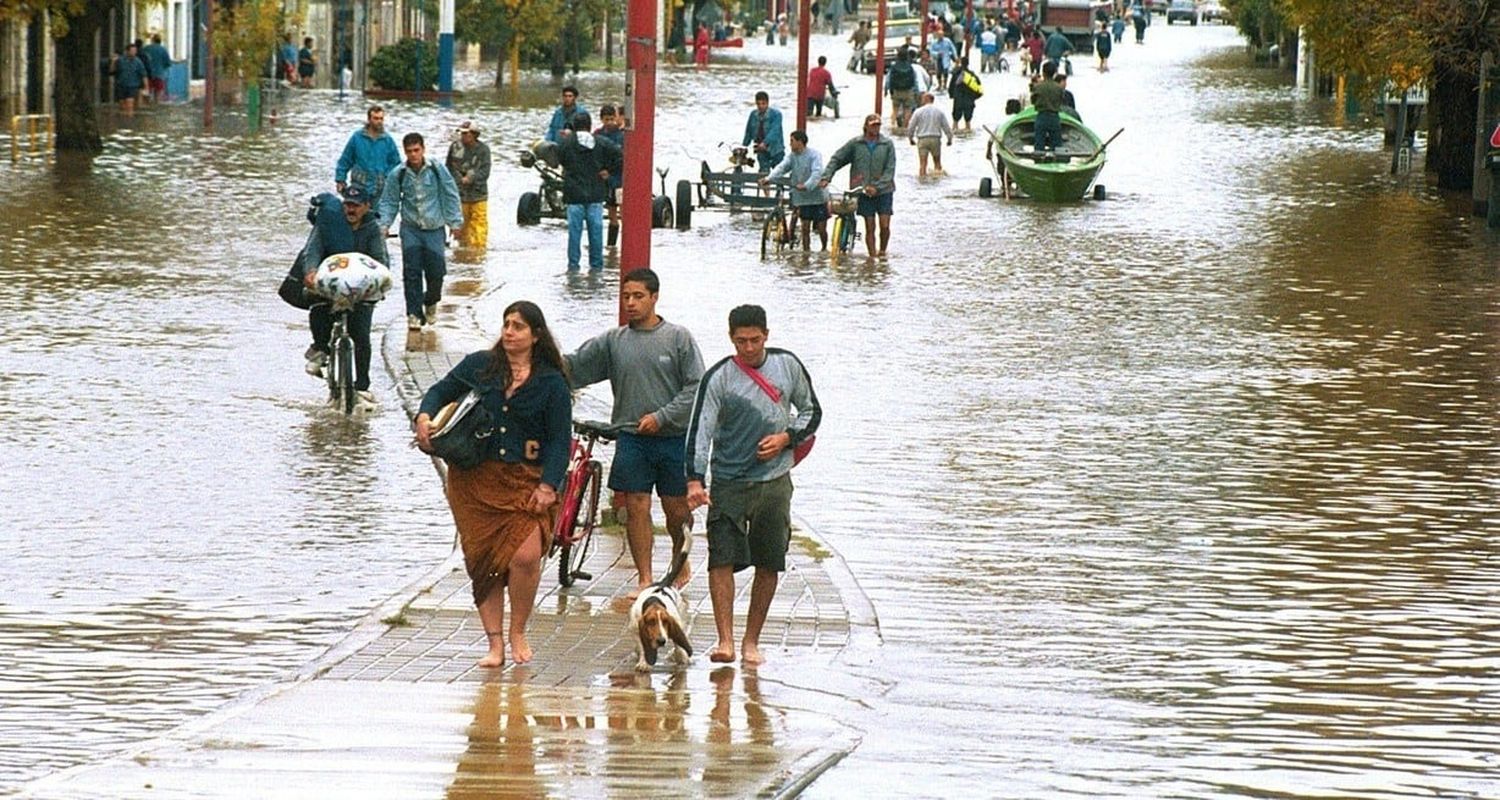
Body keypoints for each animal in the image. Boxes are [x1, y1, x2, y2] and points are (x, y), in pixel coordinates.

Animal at [630, 525, 693, 666]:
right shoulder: (635, 628)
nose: (661, 641)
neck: (654, 600)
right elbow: (641, 645)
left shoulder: (675, 622)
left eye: (665, 621)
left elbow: (678, 644)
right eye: (651, 621)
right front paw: (644, 662)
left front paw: (681, 656)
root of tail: (664, 583)